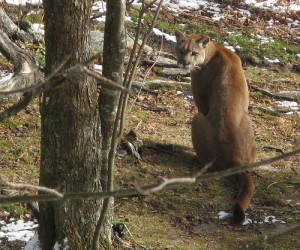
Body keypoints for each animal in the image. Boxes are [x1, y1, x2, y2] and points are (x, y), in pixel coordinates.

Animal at [175, 30, 256, 224]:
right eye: (180, 51)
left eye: (193, 53)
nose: (184, 63)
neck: (213, 50)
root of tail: (234, 159)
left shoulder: (201, 102)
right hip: (248, 119)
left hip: (197, 119)